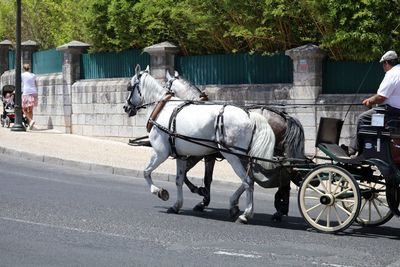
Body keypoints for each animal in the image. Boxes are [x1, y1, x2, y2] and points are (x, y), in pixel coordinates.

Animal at [123, 67, 276, 224]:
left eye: (129, 86)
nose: (126, 107)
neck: (164, 108)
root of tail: (249, 116)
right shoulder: (182, 156)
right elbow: (179, 180)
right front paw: (177, 205)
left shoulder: (161, 153)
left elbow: (146, 172)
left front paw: (159, 192)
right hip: (243, 158)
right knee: (249, 180)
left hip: (233, 156)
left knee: (248, 182)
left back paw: (245, 214)